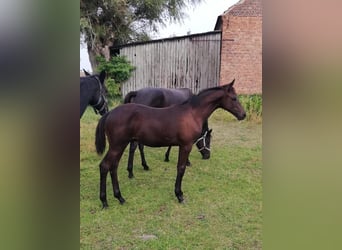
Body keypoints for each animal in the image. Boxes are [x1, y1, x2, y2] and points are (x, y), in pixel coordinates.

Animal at [95, 79, 246, 207]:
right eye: (234, 98)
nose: (243, 115)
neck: (192, 113)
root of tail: (109, 114)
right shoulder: (186, 145)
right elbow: (181, 168)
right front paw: (179, 195)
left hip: (120, 145)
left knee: (113, 167)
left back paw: (119, 197)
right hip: (117, 146)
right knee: (105, 166)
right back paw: (104, 201)